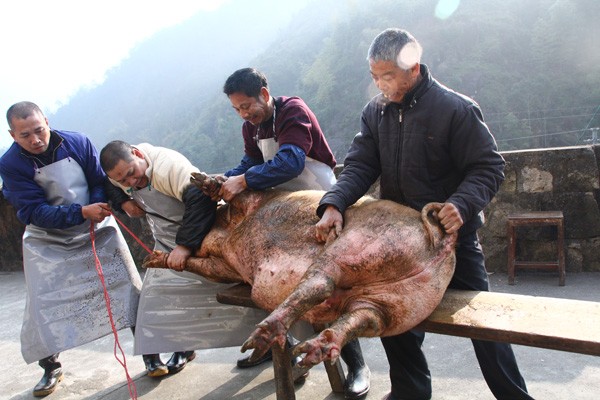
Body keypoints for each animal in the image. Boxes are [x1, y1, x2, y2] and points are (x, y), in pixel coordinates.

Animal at [144, 172, 454, 368]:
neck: (227, 229)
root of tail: (440, 243)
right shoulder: (225, 267)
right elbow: (205, 267)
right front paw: (154, 260)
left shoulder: (252, 201)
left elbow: (240, 192)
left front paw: (201, 181)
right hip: (396, 305)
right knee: (360, 318)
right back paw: (313, 350)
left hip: (355, 245)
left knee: (321, 283)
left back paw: (258, 341)